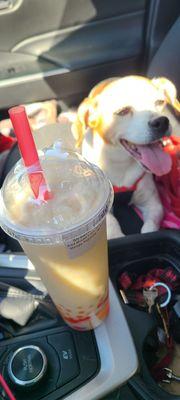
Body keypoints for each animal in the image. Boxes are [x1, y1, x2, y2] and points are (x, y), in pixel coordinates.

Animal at [71, 76, 179, 238]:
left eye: (160, 102)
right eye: (123, 111)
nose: (162, 122)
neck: (122, 164)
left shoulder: (152, 204)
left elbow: (150, 227)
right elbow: (112, 224)